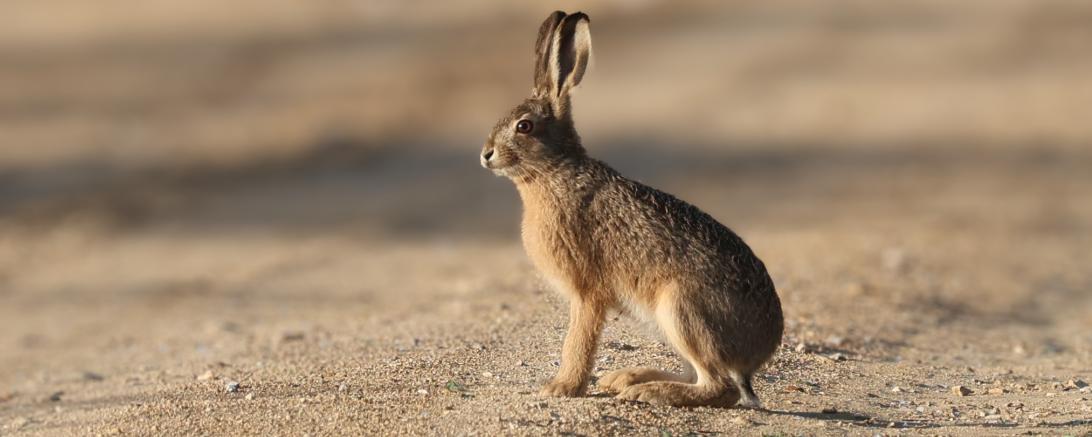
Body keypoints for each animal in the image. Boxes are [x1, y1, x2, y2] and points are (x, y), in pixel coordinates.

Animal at [480, 11, 784, 408]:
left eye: (524, 126)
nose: (485, 154)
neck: (553, 171)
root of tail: (759, 352)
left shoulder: (588, 292)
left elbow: (578, 342)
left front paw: (561, 387)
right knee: (698, 375)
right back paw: (627, 378)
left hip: (682, 309)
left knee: (720, 386)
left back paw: (645, 391)